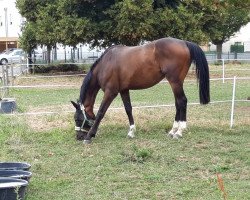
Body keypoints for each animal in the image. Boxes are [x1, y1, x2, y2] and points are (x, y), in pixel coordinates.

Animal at [71, 37, 210, 144]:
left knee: (182, 101)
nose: (78, 137)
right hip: (176, 83)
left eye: (77, 119)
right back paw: (172, 131)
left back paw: (179, 132)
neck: (106, 64)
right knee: (178, 103)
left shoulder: (111, 92)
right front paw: (131, 132)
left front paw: (90, 136)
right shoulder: (124, 90)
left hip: (175, 81)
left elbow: (101, 112)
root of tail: (184, 42)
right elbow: (128, 109)